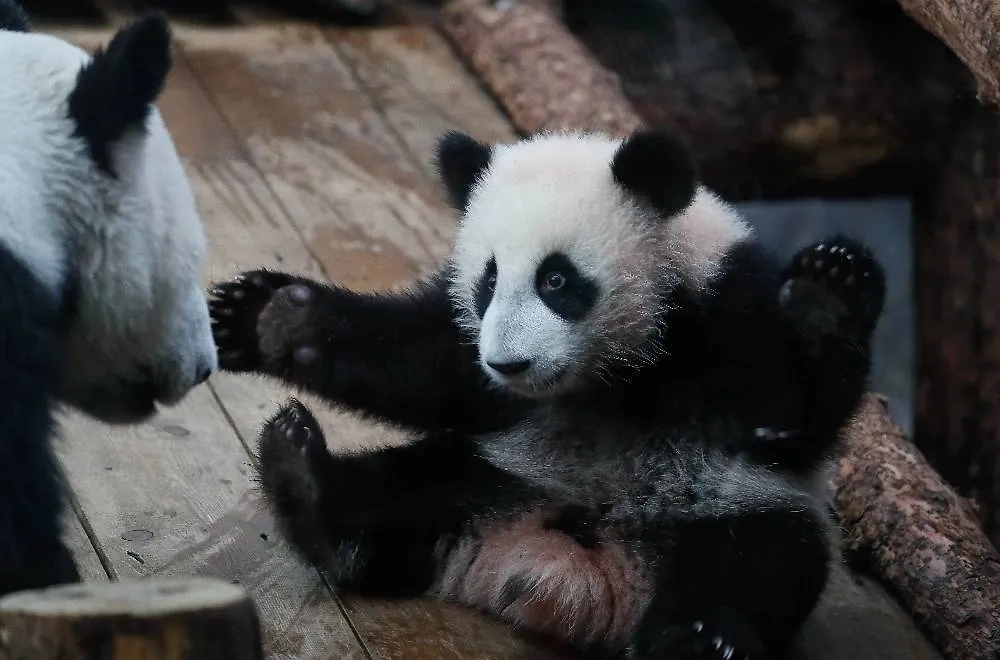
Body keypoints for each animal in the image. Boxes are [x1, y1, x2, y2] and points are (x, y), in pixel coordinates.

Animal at [209, 126, 884, 656]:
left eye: (556, 279)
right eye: (488, 280)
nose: (508, 364)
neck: (621, 370)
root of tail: (576, 574)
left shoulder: (725, 304)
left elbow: (792, 416)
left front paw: (827, 296)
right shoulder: (481, 363)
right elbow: (430, 365)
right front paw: (273, 318)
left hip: (729, 508)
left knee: (756, 564)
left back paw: (696, 640)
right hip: (503, 471)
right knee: (400, 492)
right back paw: (303, 481)